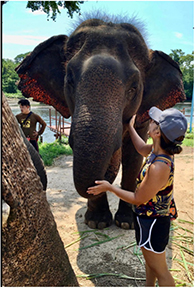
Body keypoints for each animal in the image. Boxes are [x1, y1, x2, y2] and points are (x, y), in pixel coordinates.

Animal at [15, 12, 186, 230]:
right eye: (69, 80)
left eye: (133, 88)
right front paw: (97, 223)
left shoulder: (143, 117)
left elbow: (134, 155)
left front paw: (127, 223)